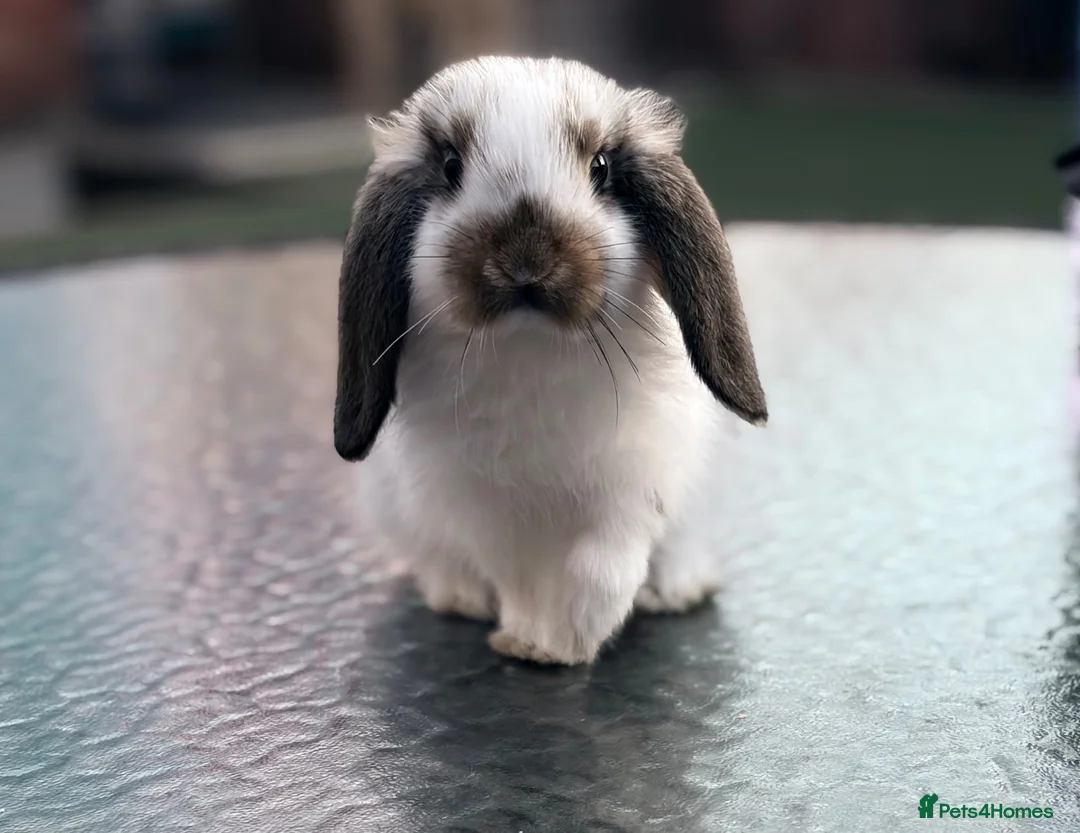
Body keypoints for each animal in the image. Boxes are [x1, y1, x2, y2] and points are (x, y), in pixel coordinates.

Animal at [334, 56, 767, 666]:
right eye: (450, 165)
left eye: (601, 167)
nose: (526, 259)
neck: (530, 347)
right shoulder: (484, 512)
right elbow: (519, 581)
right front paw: (531, 642)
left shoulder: (629, 493)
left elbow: (603, 571)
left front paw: (573, 640)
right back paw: (461, 598)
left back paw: (676, 592)